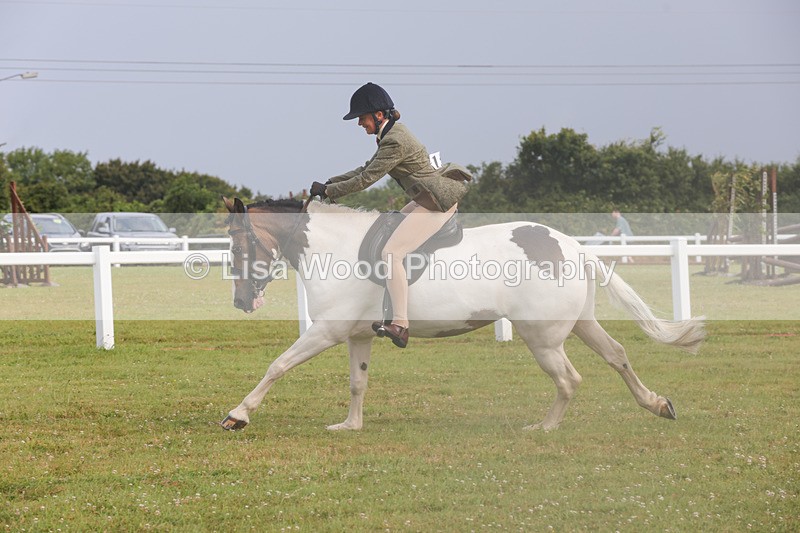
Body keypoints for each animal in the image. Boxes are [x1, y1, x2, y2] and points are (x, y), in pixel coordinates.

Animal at [220, 197, 704, 431]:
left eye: (238, 248)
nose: (241, 302)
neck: (335, 247)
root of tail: (572, 245)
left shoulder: (327, 331)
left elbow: (277, 365)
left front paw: (238, 415)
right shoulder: (358, 335)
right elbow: (358, 383)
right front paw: (350, 426)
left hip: (543, 337)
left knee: (570, 379)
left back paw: (543, 428)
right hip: (579, 325)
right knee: (617, 355)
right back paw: (657, 404)